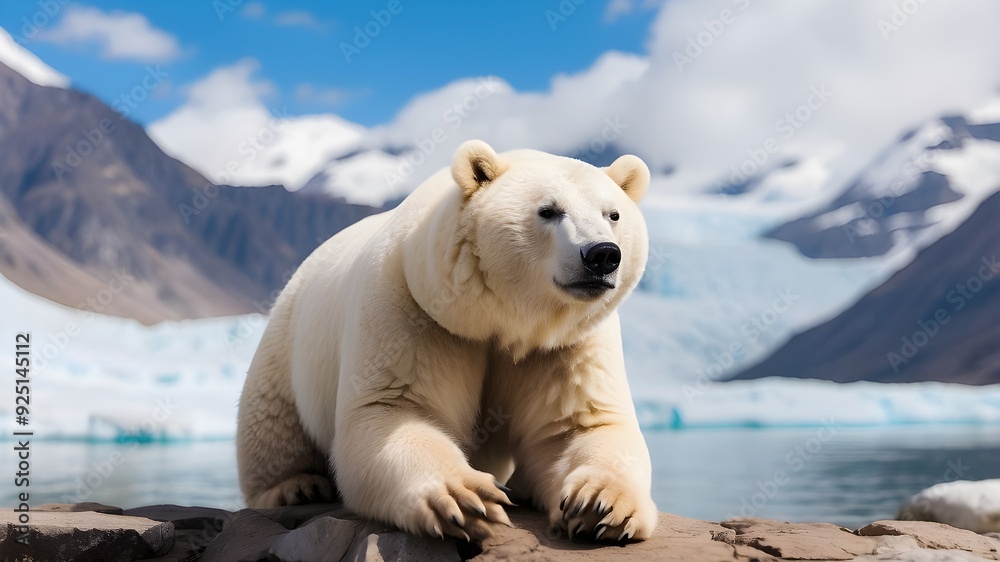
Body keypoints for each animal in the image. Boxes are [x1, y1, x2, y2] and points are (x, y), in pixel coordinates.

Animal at [236, 139, 658, 542]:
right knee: (271, 421)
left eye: (613, 215)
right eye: (548, 210)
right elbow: (393, 411)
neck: (501, 321)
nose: (602, 255)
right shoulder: (415, 309)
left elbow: (580, 427)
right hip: (288, 339)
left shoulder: (568, 344)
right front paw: (465, 499)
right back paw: (295, 486)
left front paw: (601, 506)